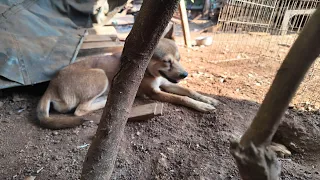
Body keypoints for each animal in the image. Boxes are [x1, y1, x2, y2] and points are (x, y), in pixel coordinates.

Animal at [36, 26, 219, 129]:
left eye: (179, 59)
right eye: (167, 61)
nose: (185, 74)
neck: (150, 72)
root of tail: (51, 86)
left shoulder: (166, 84)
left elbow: (189, 91)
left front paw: (207, 99)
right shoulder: (154, 93)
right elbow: (181, 98)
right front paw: (201, 106)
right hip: (100, 76)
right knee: (80, 110)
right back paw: (107, 99)